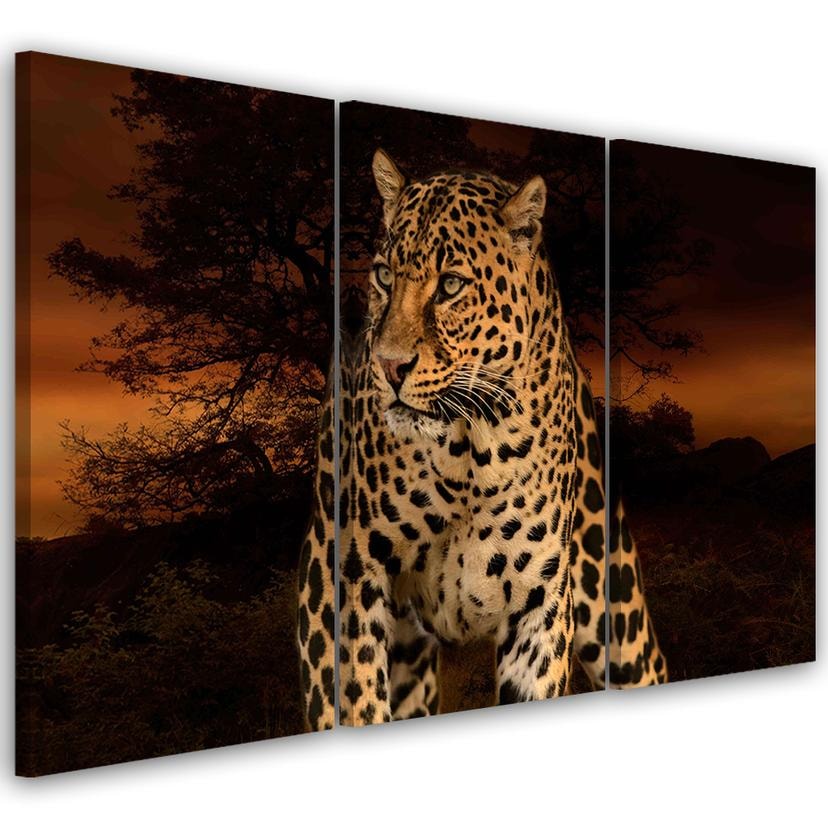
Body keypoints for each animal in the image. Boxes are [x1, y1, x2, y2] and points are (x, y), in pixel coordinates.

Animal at [298, 149, 667, 730]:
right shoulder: (342, 578)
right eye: (383, 275)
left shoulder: (540, 605)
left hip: (615, 607)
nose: (388, 366)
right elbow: (355, 701)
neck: (469, 446)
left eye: (450, 285)